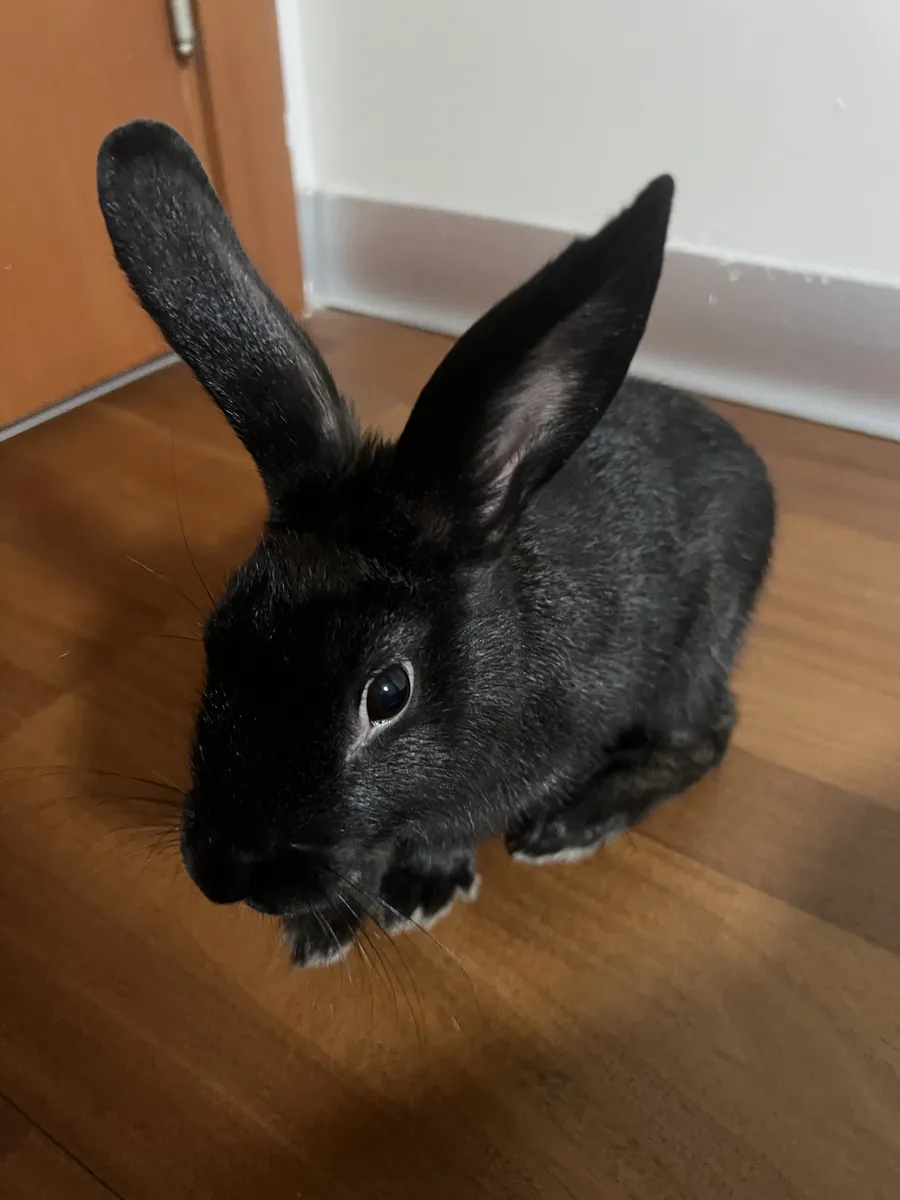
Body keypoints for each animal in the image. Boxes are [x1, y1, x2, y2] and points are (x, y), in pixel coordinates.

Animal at [97, 120, 775, 968]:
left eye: (388, 694)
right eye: (217, 634)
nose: (226, 872)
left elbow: (446, 831)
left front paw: (418, 889)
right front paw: (325, 927)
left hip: (696, 648)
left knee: (708, 733)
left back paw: (574, 824)